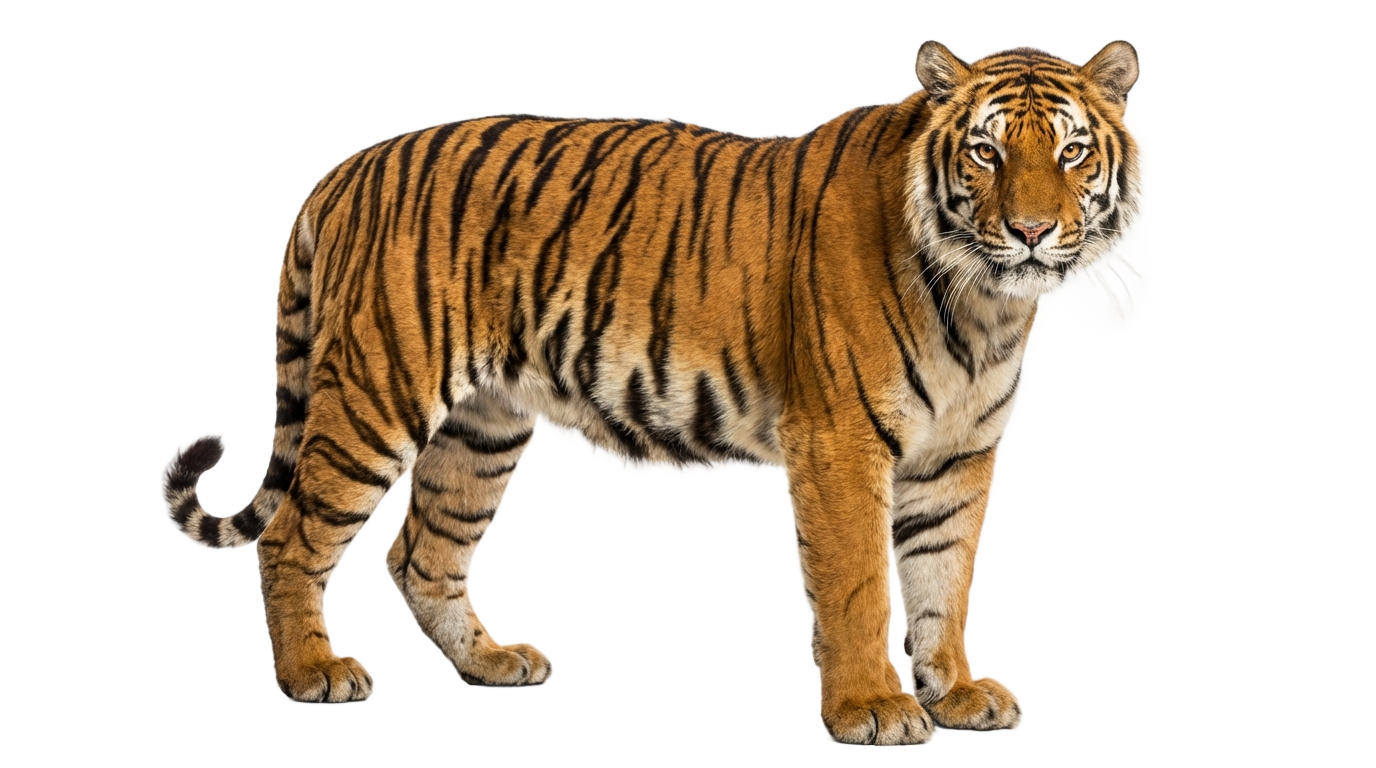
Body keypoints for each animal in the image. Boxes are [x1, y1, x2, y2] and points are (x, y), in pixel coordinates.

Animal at [162, 40, 1139, 745]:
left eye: (1071, 152)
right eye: (985, 151)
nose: (1031, 231)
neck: (984, 303)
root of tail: (349, 168)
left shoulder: (956, 457)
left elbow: (945, 578)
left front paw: (955, 691)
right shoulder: (839, 441)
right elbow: (862, 584)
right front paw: (869, 706)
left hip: (481, 425)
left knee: (420, 551)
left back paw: (489, 661)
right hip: (378, 389)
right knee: (291, 535)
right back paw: (312, 674)